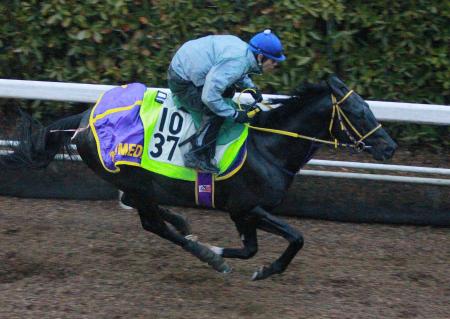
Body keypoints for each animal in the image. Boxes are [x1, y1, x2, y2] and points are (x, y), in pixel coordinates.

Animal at [2, 76, 398, 282]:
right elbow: (293, 238)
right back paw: (204, 252)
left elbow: (257, 247)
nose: (390, 147)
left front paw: (244, 260)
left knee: (143, 208)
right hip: (134, 179)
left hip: (136, 182)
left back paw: (182, 222)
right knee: (151, 223)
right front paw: (230, 257)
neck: (267, 146)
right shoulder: (245, 207)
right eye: (358, 113)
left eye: (368, 109)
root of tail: (84, 120)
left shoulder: (244, 212)